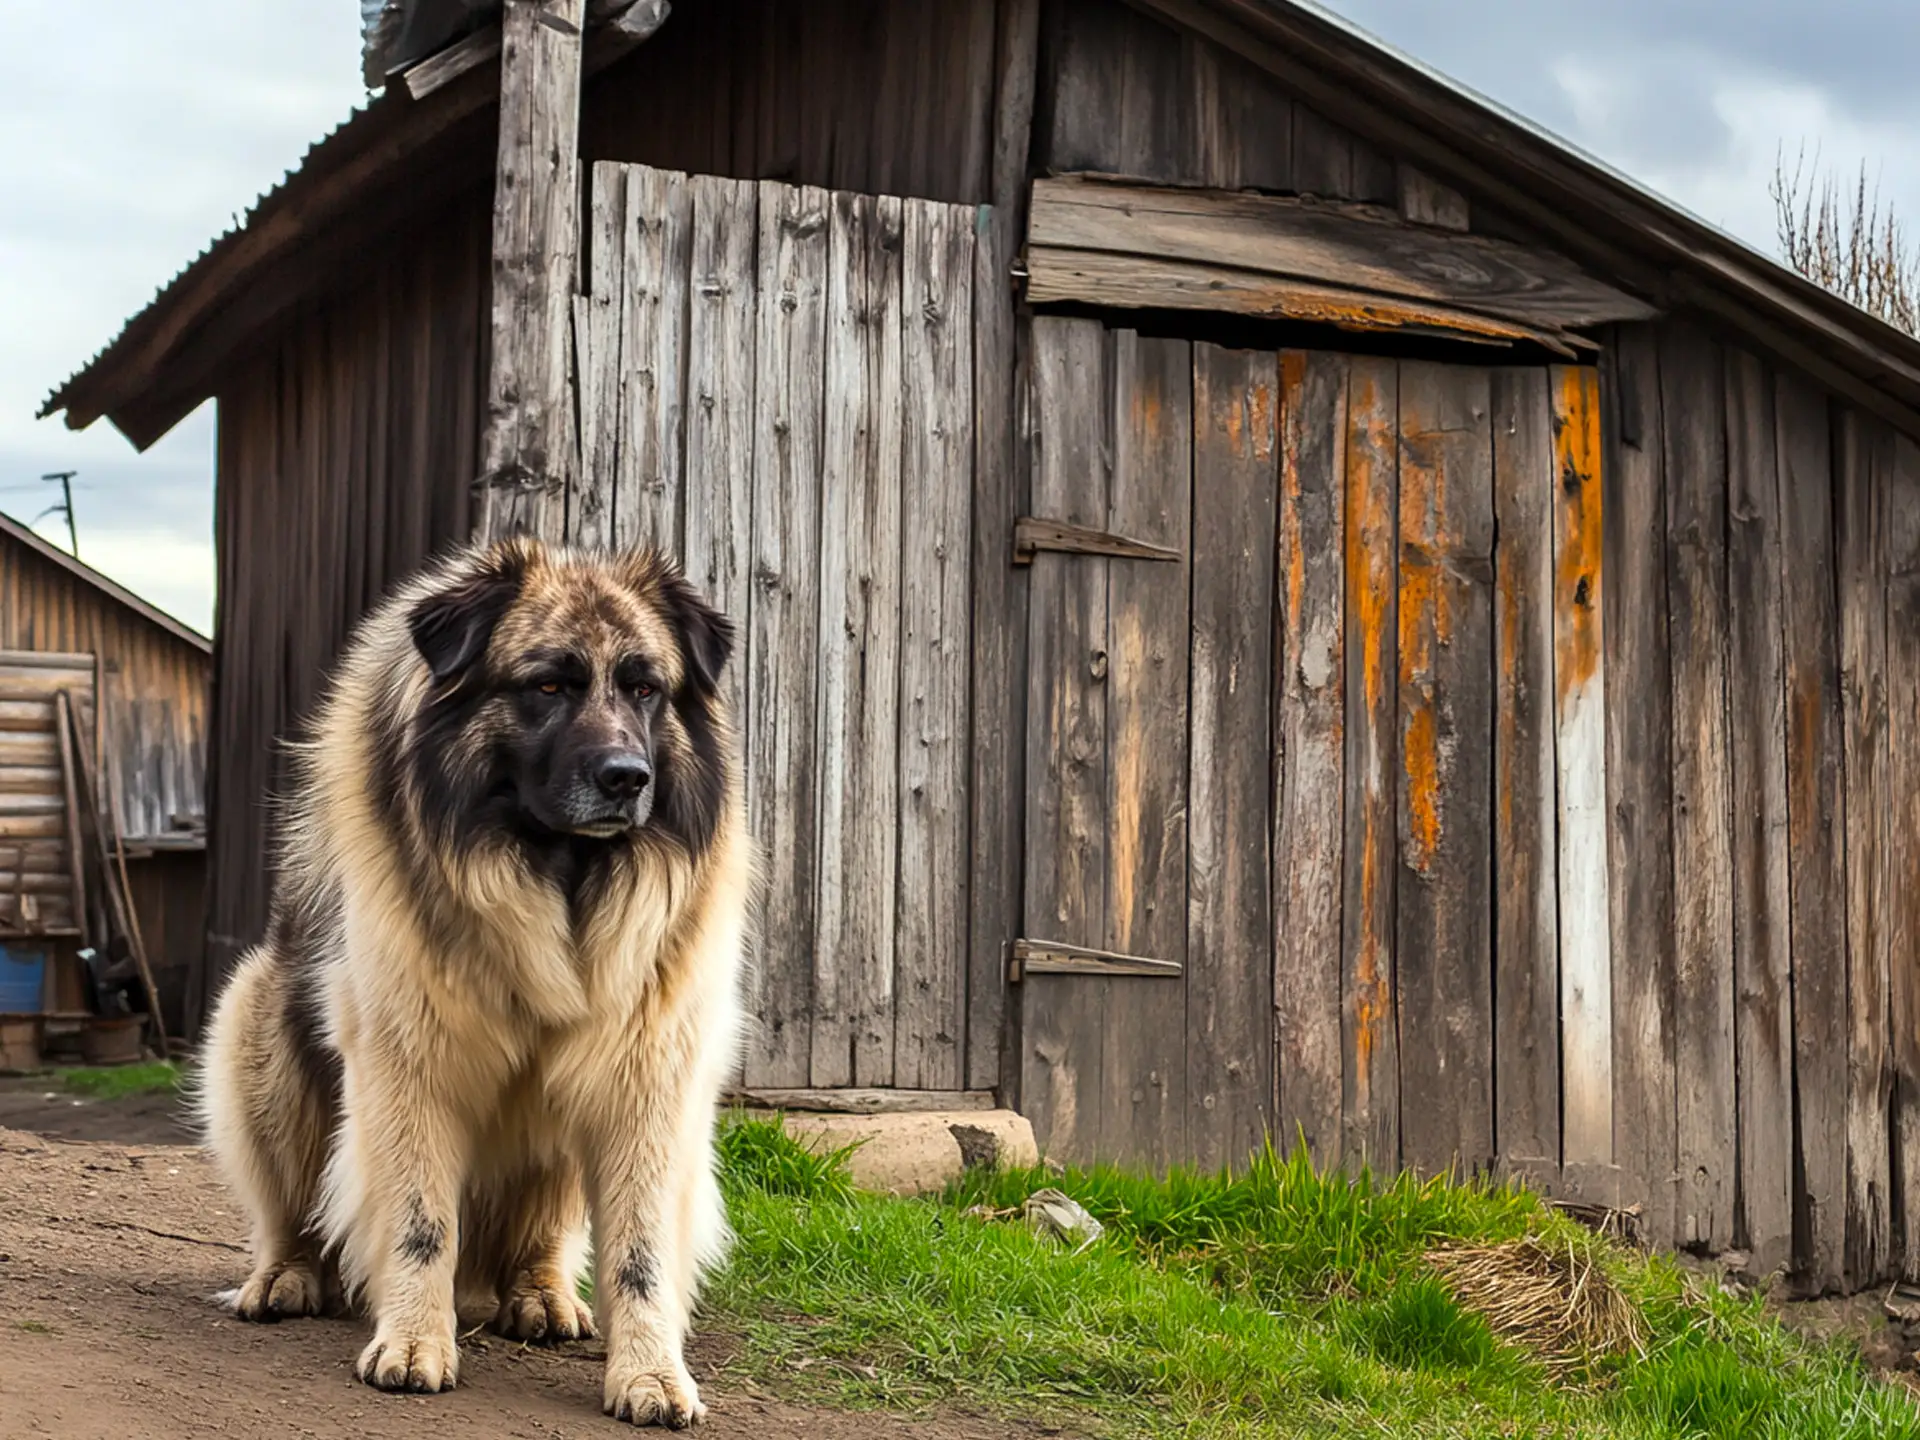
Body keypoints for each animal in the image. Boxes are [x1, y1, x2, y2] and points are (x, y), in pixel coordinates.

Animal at [200, 541, 748, 1436]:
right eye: (549, 686)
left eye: (645, 688)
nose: (627, 777)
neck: (553, 874)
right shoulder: (407, 1058)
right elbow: (420, 1219)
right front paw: (414, 1342)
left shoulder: (646, 1075)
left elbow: (640, 1251)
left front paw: (651, 1373)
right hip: (259, 1026)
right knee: (292, 1206)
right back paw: (285, 1276)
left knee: (542, 1239)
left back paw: (543, 1294)